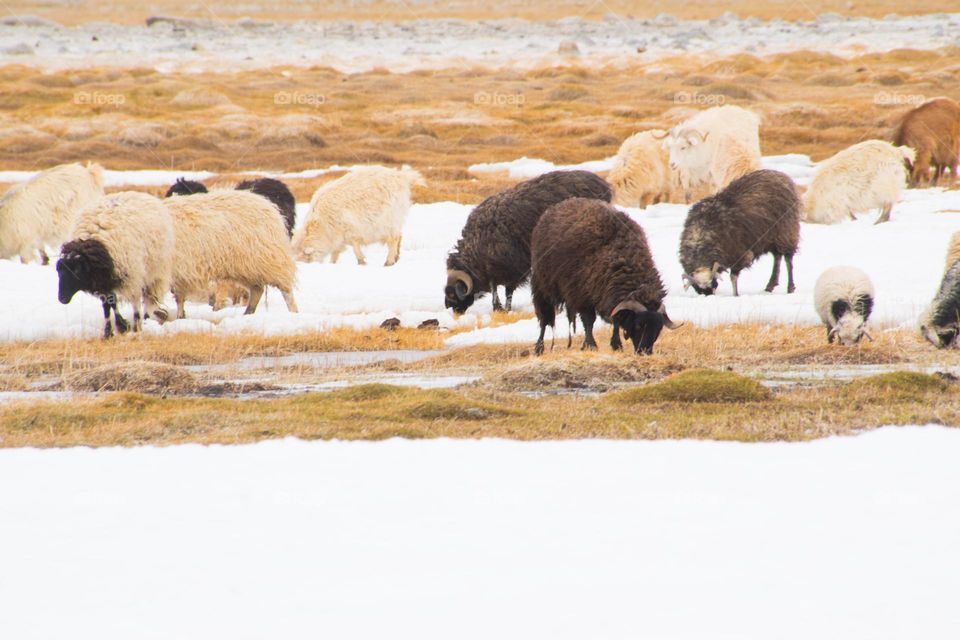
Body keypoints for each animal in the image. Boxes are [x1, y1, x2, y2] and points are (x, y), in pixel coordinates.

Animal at [56, 192, 174, 338]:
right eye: (58, 271)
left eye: (77, 270)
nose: (62, 299)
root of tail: (138, 193)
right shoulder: (102, 281)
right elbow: (107, 304)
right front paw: (109, 331)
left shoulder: (128, 276)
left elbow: (118, 301)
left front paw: (126, 326)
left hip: (152, 270)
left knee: (145, 296)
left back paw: (144, 319)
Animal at [164, 190, 298, 318]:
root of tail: (268, 205)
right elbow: (178, 298)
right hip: (246, 268)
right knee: (257, 289)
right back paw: (247, 313)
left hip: (268, 260)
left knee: (285, 289)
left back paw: (293, 312)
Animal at [293, 166, 424, 267]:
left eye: (306, 256)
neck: (322, 225)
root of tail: (401, 176)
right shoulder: (338, 238)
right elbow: (336, 252)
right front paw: (332, 264)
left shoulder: (351, 230)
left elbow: (355, 248)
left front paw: (361, 262)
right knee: (399, 237)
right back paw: (396, 258)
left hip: (390, 219)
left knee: (394, 238)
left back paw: (389, 261)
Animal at [445, 170, 612, 314]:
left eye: (453, 294)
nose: (452, 310)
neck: (476, 246)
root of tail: (602, 184)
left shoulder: (508, 266)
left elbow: (503, 290)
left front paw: (501, 308)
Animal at [530, 197, 680, 355]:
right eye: (639, 325)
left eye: (659, 328)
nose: (645, 351)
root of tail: (559, 205)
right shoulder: (581, 295)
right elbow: (589, 321)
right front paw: (591, 345)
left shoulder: (607, 293)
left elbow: (616, 321)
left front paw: (616, 344)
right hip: (542, 286)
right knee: (545, 318)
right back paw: (539, 347)